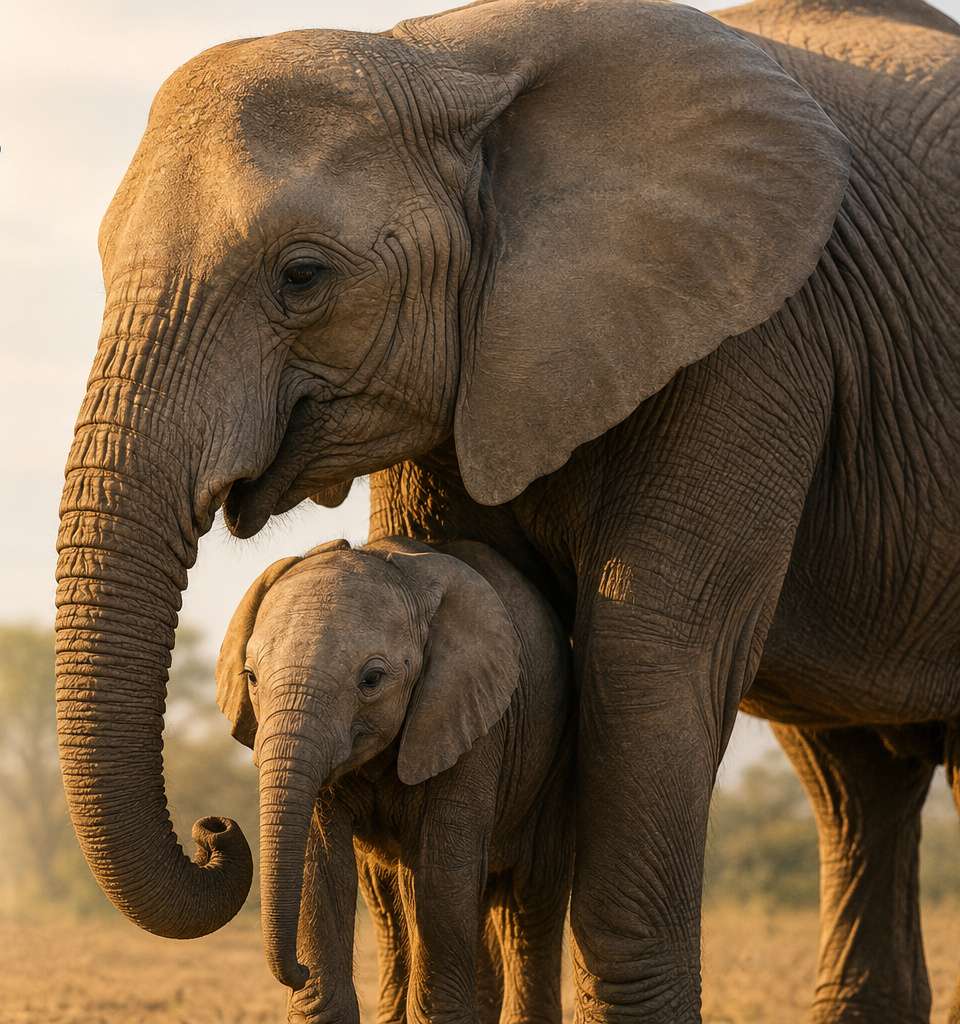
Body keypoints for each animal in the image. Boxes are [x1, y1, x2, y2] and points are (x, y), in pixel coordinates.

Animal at [215, 536, 574, 1023]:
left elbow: (443, 868)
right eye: (251, 677)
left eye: (372, 679)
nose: (298, 971)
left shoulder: (471, 715)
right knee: (391, 900)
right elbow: (320, 859)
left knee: (529, 898)